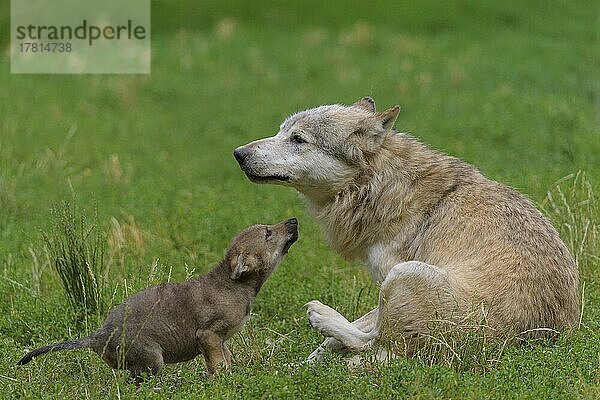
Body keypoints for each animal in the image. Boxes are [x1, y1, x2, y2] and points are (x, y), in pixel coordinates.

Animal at [233, 97, 576, 362]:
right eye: (280, 131)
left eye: (298, 139)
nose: (238, 153)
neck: (378, 186)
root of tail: (535, 343)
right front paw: (297, 365)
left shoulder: (387, 277)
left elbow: (363, 331)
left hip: (407, 273)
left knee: (373, 343)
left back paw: (322, 316)